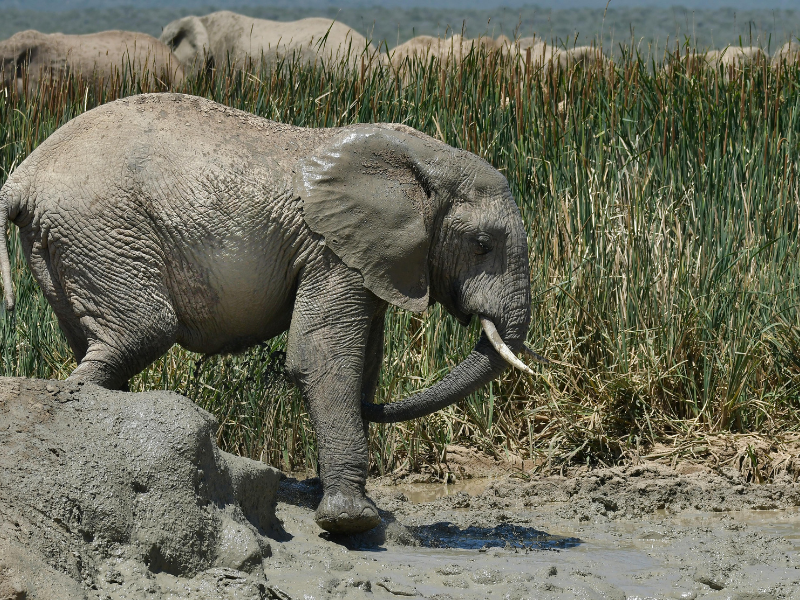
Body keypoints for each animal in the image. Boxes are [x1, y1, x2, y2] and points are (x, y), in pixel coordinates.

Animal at [0, 93, 535, 534]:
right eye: (482, 245)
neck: (421, 158)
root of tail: (21, 178)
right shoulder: (330, 251)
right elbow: (322, 357)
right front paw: (352, 522)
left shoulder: (373, 259)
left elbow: (363, 362)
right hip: (102, 227)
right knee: (142, 332)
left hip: (66, 244)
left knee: (100, 344)